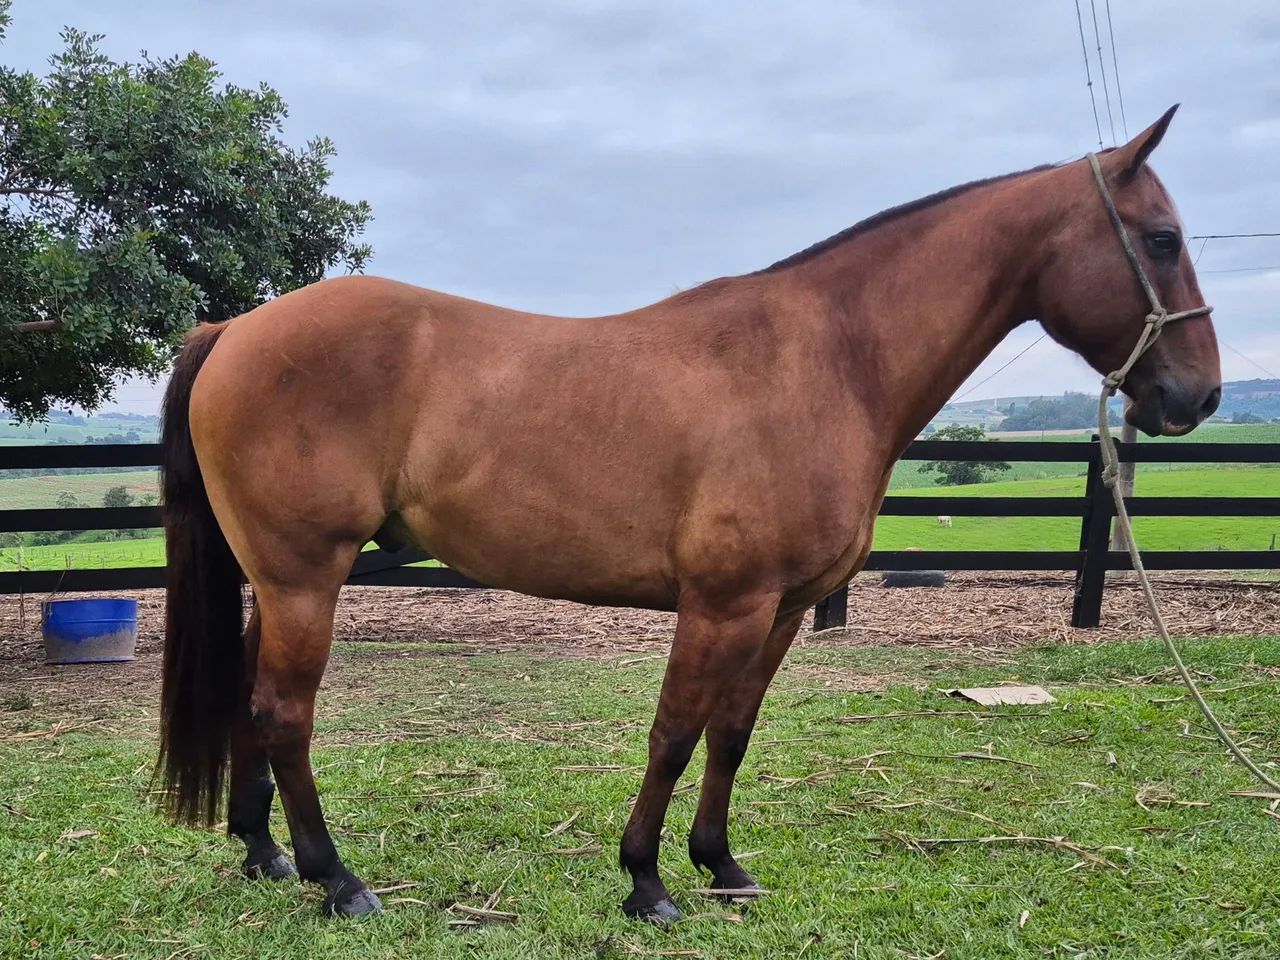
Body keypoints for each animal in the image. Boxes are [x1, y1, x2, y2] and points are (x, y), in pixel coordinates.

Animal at [157, 106, 1219, 922]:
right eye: (1162, 239)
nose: (1197, 396)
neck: (824, 363)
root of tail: (236, 328)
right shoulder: (723, 606)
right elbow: (673, 732)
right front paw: (646, 881)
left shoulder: (780, 610)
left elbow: (730, 735)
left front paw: (721, 866)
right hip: (306, 577)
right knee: (285, 712)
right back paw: (338, 879)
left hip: (278, 581)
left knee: (253, 699)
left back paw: (264, 853)